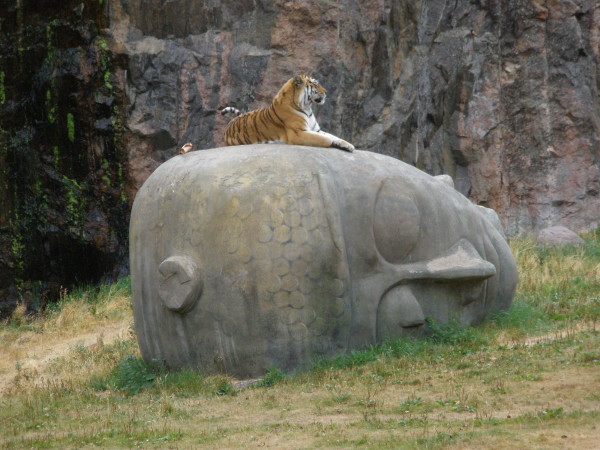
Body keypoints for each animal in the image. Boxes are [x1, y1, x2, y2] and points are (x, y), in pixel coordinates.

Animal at [180, 75, 354, 155]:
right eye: (315, 84)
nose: (326, 92)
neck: (307, 106)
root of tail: (231, 123)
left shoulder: (315, 129)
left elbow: (334, 136)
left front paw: (348, 145)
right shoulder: (298, 133)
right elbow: (325, 139)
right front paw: (332, 144)